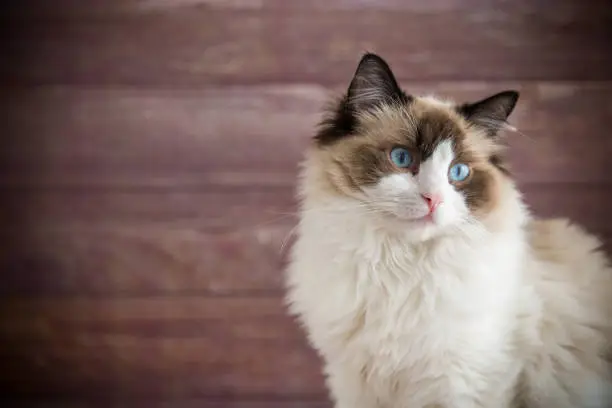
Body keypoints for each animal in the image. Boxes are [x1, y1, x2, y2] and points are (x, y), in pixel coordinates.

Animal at [284, 54, 612, 408]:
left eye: (458, 172)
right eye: (402, 158)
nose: (434, 199)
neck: (399, 266)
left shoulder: (460, 384)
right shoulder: (355, 384)